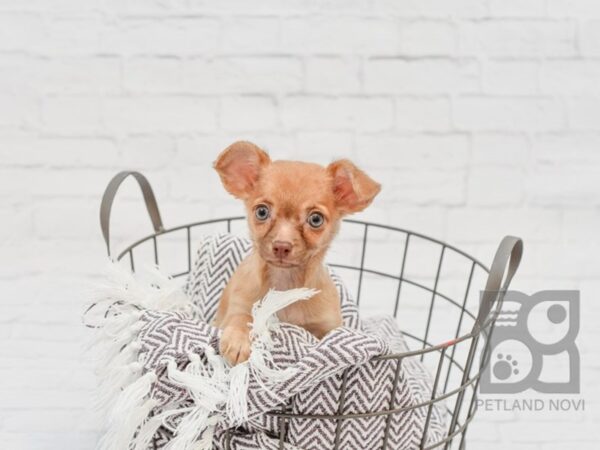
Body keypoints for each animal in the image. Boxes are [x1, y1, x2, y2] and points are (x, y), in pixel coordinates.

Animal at [212, 142, 380, 366]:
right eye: (262, 212)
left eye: (316, 219)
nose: (281, 246)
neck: (285, 284)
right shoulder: (238, 307)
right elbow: (243, 318)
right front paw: (238, 340)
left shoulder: (326, 326)